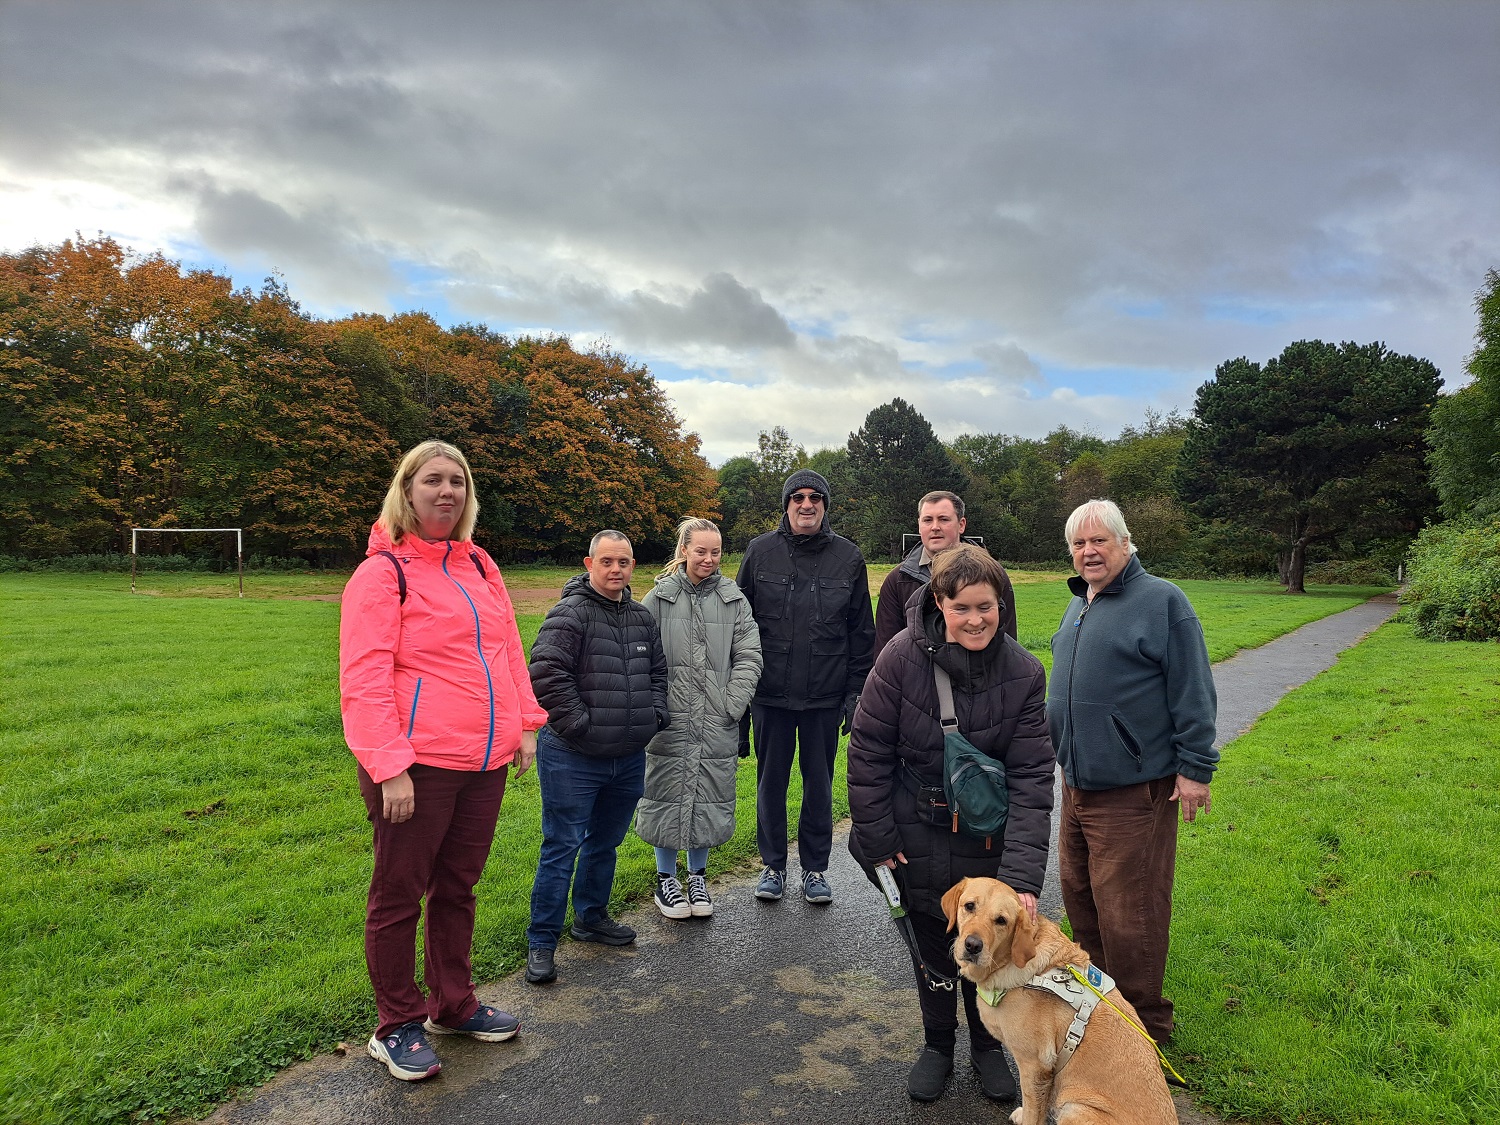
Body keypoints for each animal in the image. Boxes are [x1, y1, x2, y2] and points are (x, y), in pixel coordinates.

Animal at [942, 882, 1176, 1125]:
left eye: (1001, 920)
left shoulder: (1034, 1066)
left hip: (1076, 1109)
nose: (972, 945)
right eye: (969, 906)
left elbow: (1033, 1111)